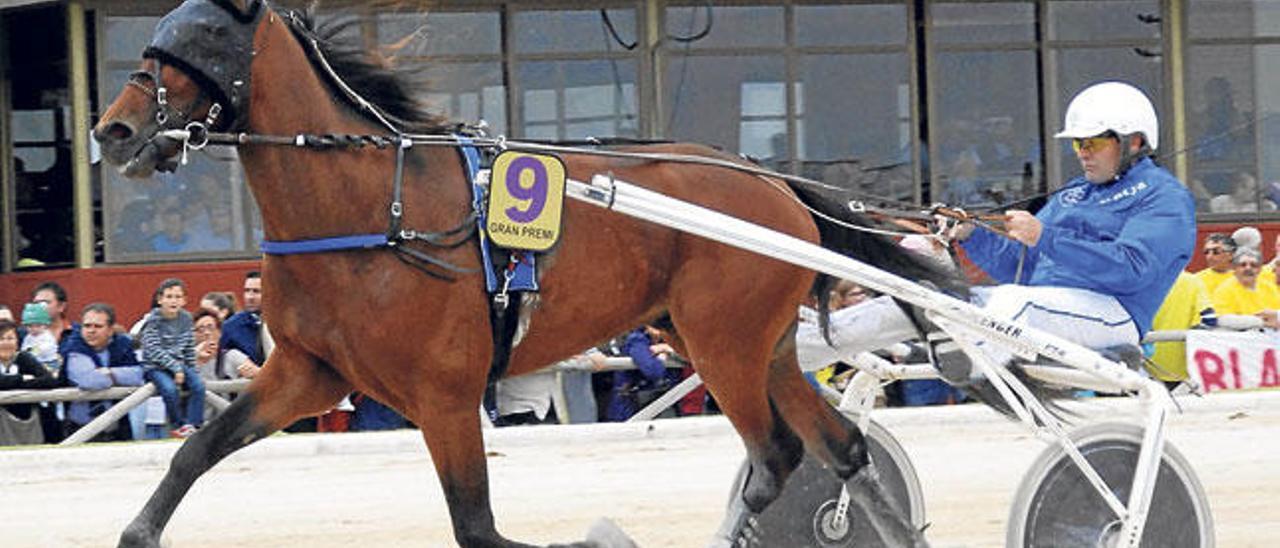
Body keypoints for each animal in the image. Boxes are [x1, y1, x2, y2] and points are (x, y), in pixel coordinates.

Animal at [94, 2, 962, 545]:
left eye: (195, 44)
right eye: (150, 42)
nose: (115, 130)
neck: (372, 205)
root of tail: (771, 182)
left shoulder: (444, 395)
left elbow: (477, 527)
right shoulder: (309, 372)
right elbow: (194, 453)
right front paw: (138, 529)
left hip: (724, 346)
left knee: (777, 454)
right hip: (749, 345)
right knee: (842, 448)